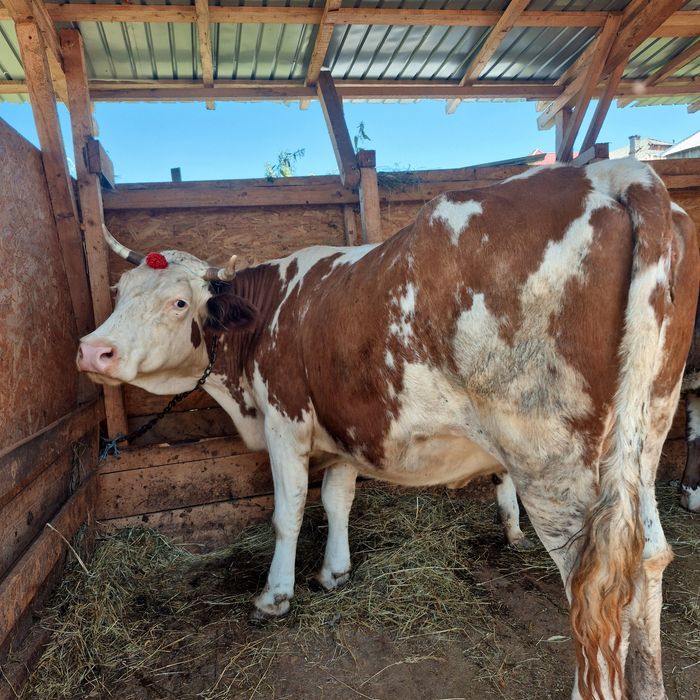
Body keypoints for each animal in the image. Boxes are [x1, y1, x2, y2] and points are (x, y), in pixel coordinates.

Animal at [77, 159, 698, 700]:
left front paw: (275, 596)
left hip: (553, 460)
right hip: (641, 439)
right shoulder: (346, 428)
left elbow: (288, 512)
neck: (270, 314)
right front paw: (334, 571)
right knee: (646, 559)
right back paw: (651, 685)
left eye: (179, 303)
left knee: (590, 581)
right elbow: (337, 499)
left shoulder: (285, 420)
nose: (92, 350)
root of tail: (616, 171)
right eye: (119, 294)